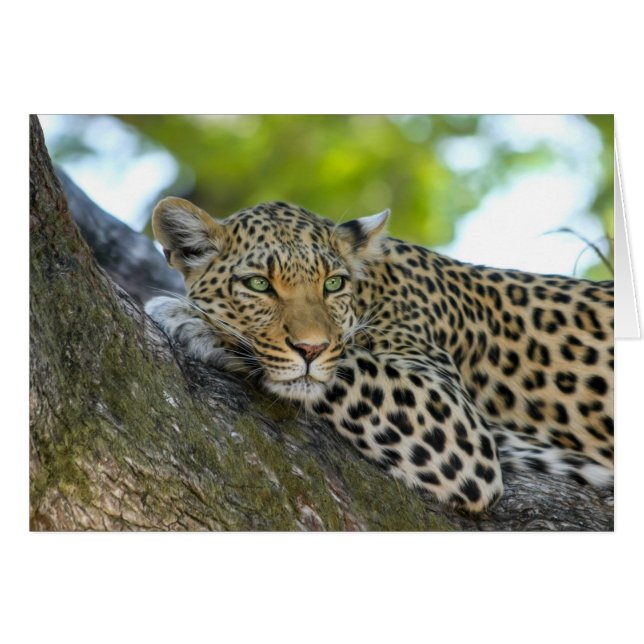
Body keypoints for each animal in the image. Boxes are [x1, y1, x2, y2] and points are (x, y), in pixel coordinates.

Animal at [145, 197, 614, 512]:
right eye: (259, 284)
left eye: (332, 284)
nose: (311, 348)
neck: (372, 290)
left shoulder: (456, 424)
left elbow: (346, 364)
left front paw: (192, 320)